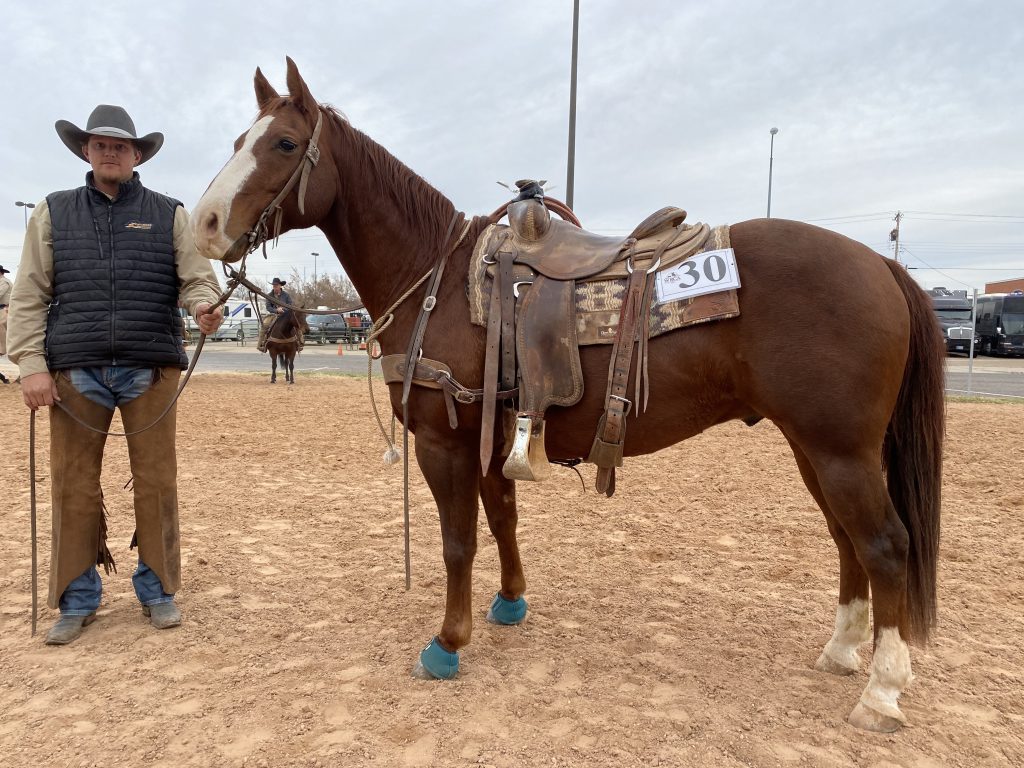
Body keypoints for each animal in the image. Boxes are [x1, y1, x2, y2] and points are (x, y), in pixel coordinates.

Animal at [191, 58, 945, 732]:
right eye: (235, 142)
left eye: (284, 144)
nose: (204, 224)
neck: (439, 275)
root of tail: (880, 264)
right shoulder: (493, 435)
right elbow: (503, 521)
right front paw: (509, 605)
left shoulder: (445, 441)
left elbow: (458, 541)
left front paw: (447, 644)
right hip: (814, 449)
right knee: (847, 540)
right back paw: (842, 650)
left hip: (839, 450)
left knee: (885, 546)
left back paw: (881, 691)